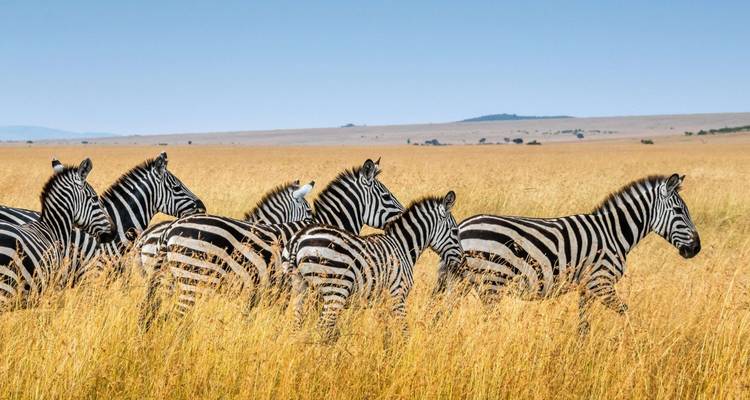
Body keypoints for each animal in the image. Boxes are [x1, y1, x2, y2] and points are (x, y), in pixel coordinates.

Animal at [285, 191, 461, 343]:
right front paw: (402, 350)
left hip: (300, 287)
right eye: (454, 231)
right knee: (323, 327)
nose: (461, 261)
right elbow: (403, 329)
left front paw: (386, 350)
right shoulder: (398, 294)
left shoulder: (382, 299)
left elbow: (386, 330)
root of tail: (299, 238)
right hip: (336, 290)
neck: (402, 247)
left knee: (296, 326)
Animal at [436, 174, 701, 335]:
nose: (696, 248)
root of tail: (462, 227)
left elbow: (583, 324)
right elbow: (627, 313)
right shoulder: (601, 282)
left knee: (441, 314)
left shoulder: (587, 286)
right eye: (679, 211)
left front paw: (580, 352)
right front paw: (637, 343)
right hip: (492, 282)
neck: (614, 232)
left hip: (461, 282)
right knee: (486, 322)